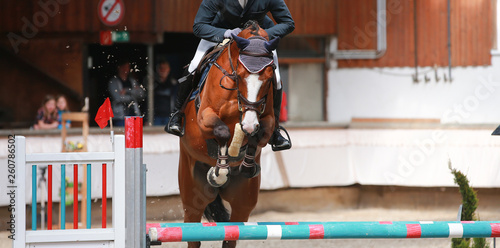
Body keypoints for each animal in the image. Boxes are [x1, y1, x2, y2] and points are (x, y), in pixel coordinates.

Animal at [179, 20, 282, 247]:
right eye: (240, 76)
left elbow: (258, 135)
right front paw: (218, 172)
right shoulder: (205, 116)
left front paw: (247, 165)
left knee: (232, 233)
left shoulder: (267, 120)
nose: (249, 125)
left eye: (269, 79)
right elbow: (223, 131)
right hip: (191, 191)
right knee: (192, 230)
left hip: (243, 202)